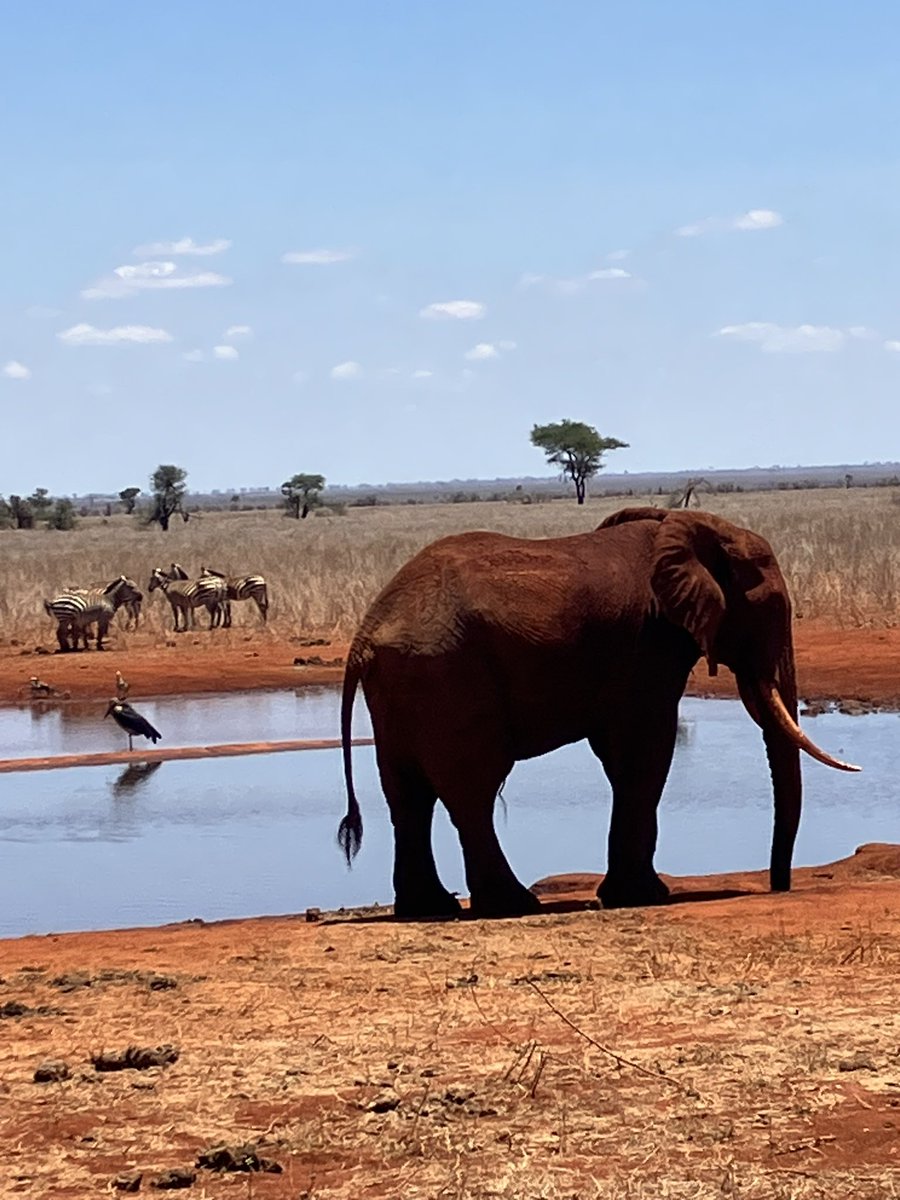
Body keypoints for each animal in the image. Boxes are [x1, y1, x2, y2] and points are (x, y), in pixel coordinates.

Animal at [337, 508, 859, 919]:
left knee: (407, 794)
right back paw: (513, 904)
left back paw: (430, 908)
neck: (689, 525)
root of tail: (365, 633)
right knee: (472, 790)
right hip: (448, 676)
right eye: (772, 607)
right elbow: (646, 750)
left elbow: (620, 755)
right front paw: (643, 896)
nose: (779, 885)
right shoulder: (650, 644)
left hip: (404, 687)